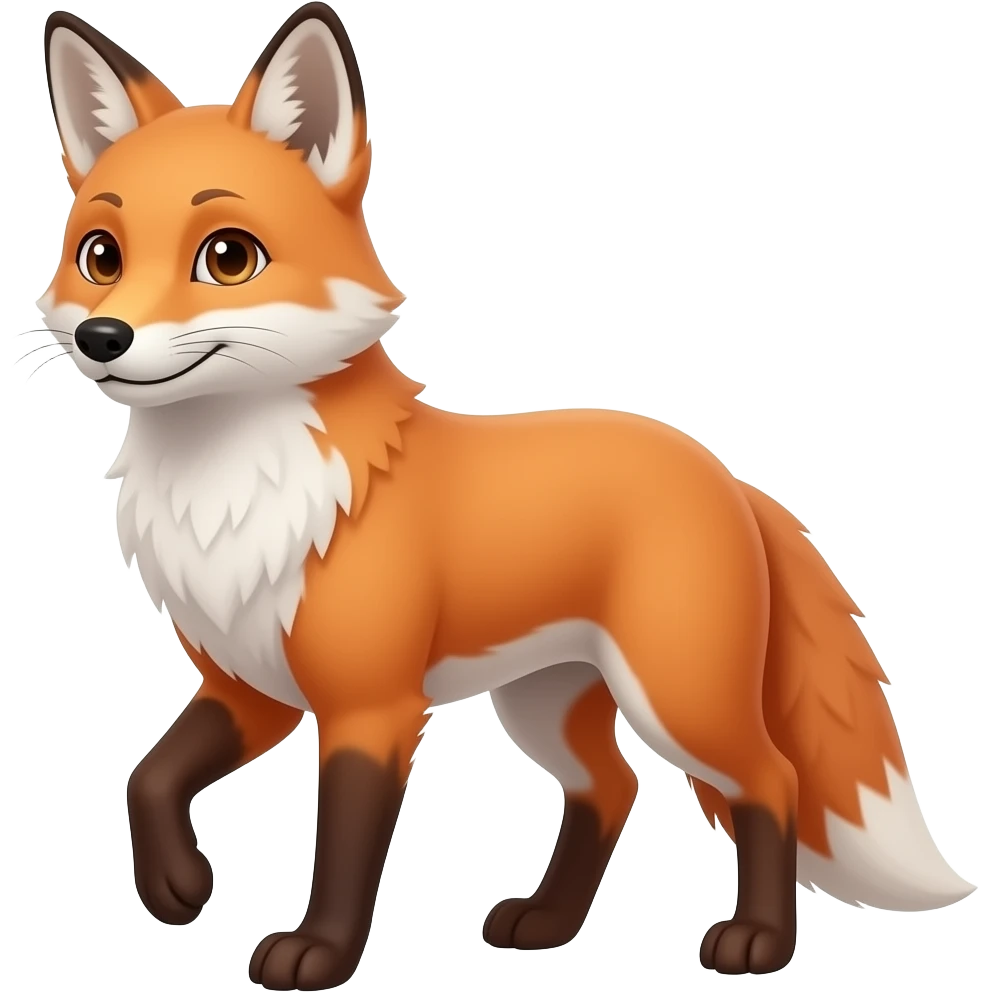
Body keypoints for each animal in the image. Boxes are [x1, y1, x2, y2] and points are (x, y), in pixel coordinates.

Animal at [33, 4, 977, 989]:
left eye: (227, 257)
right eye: (100, 256)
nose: (103, 338)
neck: (229, 492)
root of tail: (722, 471)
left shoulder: (371, 707)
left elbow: (344, 848)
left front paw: (319, 954)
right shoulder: (249, 684)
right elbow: (148, 776)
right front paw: (176, 887)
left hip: (679, 696)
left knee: (771, 780)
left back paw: (757, 942)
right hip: (546, 703)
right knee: (614, 787)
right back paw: (550, 923)